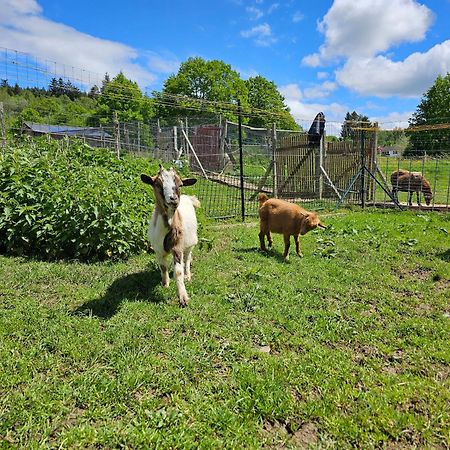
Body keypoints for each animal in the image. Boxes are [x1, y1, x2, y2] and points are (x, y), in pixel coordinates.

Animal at [139, 165, 199, 306]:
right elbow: (163, 266)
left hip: (190, 242)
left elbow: (178, 271)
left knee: (187, 258)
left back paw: (188, 275)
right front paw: (165, 284)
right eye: (157, 184)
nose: (174, 199)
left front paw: (183, 297)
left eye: (180, 184)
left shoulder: (177, 246)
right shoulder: (158, 249)